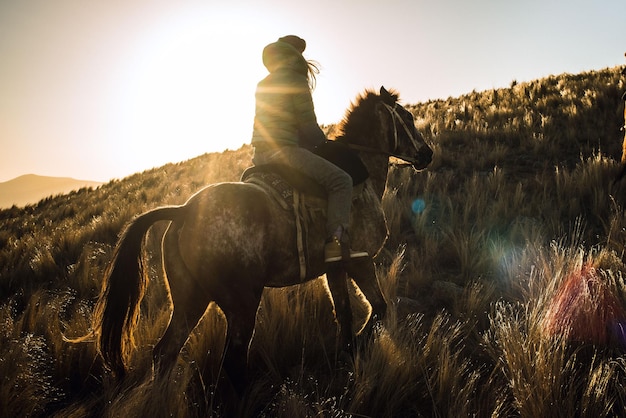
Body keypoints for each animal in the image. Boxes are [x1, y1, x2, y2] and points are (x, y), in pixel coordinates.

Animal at [92, 85, 432, 392]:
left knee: (165, 352)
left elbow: (346, 315)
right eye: (407, 116)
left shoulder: (335, 268)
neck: (360, 176)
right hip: (241, 302)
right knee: (232, 360)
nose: (427, 154)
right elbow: (380, 309)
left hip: (191, 299)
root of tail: (184, 211)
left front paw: (348, 353)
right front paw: (358, 346)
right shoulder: (361, 261)